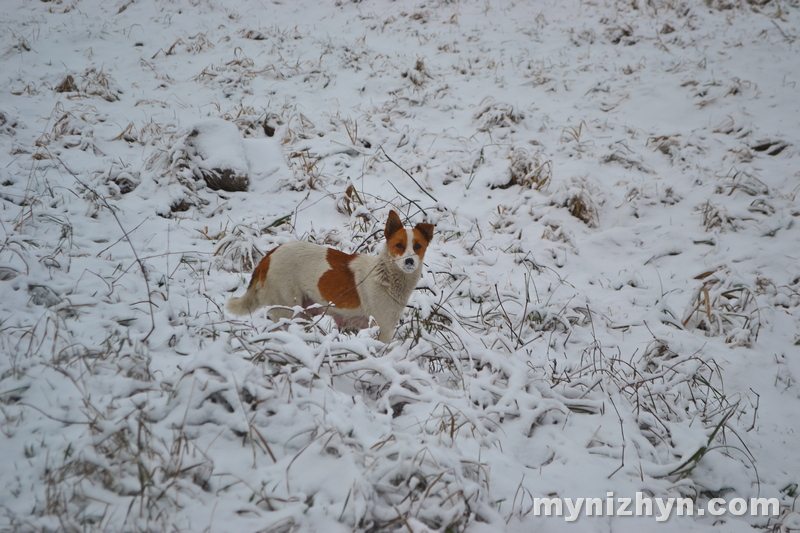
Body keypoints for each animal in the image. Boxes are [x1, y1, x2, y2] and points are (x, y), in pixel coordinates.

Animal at [228, 210, 434, 342]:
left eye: (418, 246)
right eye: (399, 245)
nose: (409, 262)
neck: (386, 275)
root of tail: (267, 257)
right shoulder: (383, 328)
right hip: (288, 311)